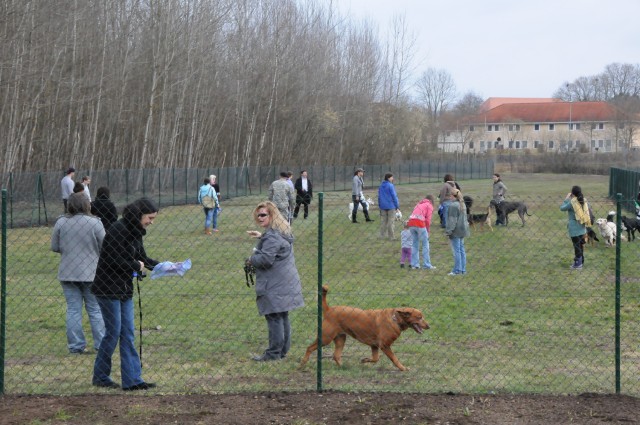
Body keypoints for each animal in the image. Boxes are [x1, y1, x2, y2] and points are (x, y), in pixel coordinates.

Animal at [300, 284, 430, 372]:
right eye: (419, 317)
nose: (429, 326)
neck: (395, 319)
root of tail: (329, 309)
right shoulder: (385, 345)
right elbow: (394, 359)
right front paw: (403, 368)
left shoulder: (375, 346)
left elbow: (375, 359)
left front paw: (364, 360)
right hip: (325, 338)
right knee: (309, 348)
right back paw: (303, 363)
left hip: (341, 338)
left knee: (336, 355)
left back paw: (344, 367)